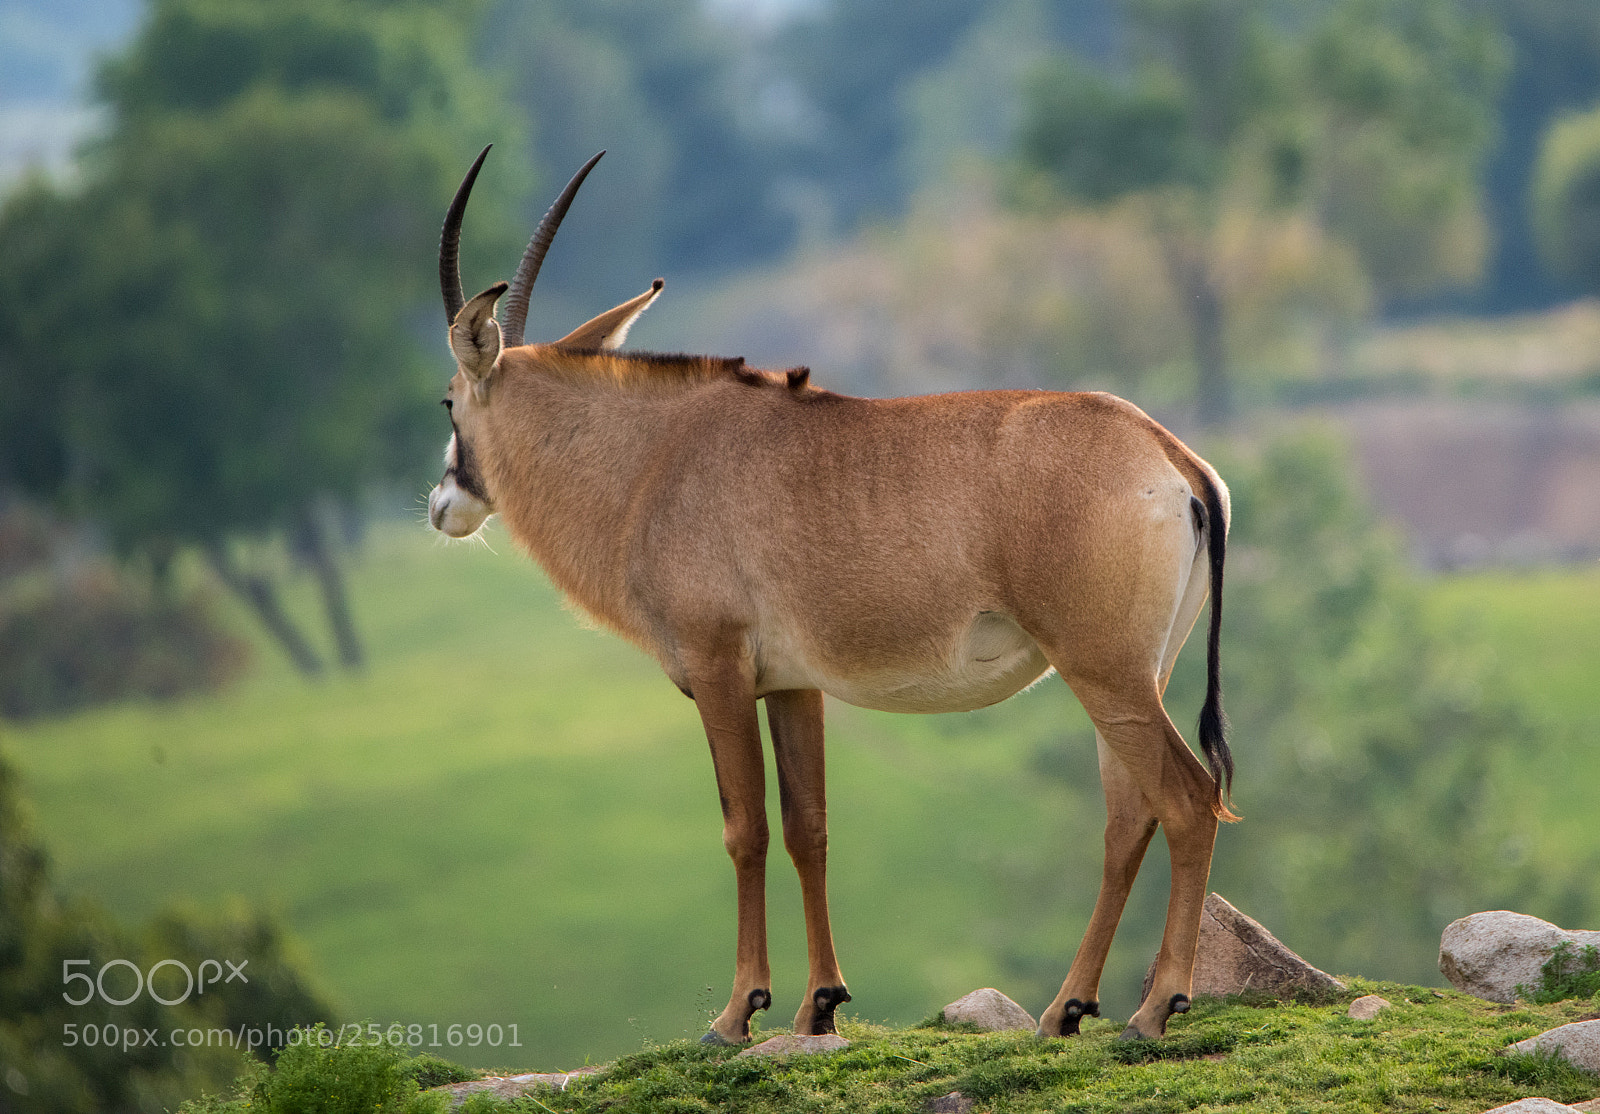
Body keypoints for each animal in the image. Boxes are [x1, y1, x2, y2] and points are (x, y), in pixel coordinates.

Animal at [425, 148, 1235, 1043]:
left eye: (448, 400)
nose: (441, 504)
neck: (655, 458)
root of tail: (1173, 459)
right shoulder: (793, 686)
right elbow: (807, 828)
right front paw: (819, 1003)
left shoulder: (717, 670)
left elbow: (744, 828)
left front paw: (737, 1013)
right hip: (1134, 676)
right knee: (1128, 819)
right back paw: (1067, 1009)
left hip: (1105, 673)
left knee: (1188, 800)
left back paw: (1155, 1008)